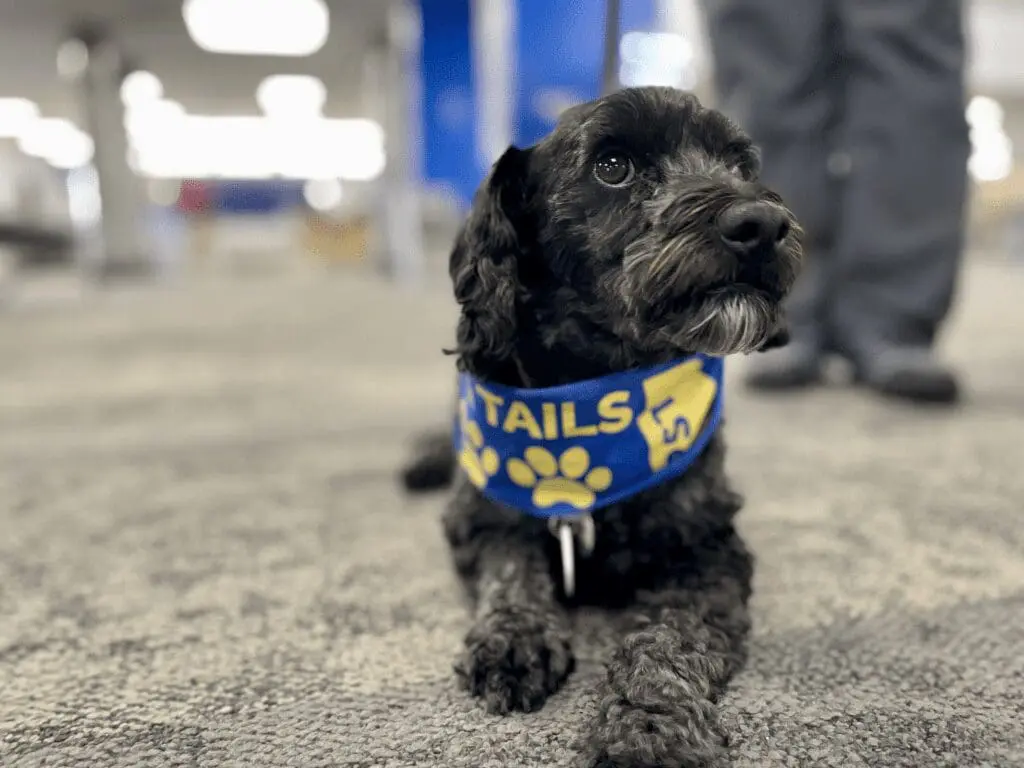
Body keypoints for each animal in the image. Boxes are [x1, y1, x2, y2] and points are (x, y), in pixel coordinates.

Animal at [436, 85, 802, 768]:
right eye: (612, 166)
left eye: (741, 164)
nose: (762, 224)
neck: (597, 389)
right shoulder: (478, 518)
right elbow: (511, 569)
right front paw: (514, 635)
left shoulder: (710, 551)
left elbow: (669, 637)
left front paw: (649, 726)